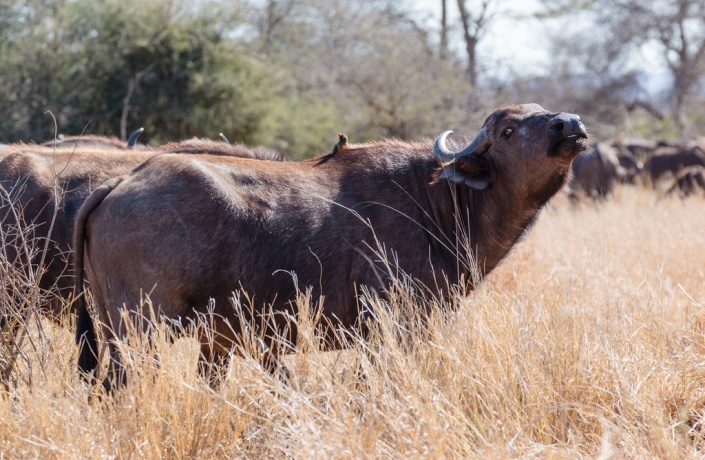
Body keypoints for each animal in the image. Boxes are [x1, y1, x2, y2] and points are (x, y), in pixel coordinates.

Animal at [71, 103, 589, 391]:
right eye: (507, 131)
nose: (569, 124)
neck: (436, 201)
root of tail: (120, 184)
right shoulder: (393, 328)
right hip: (138, 331)